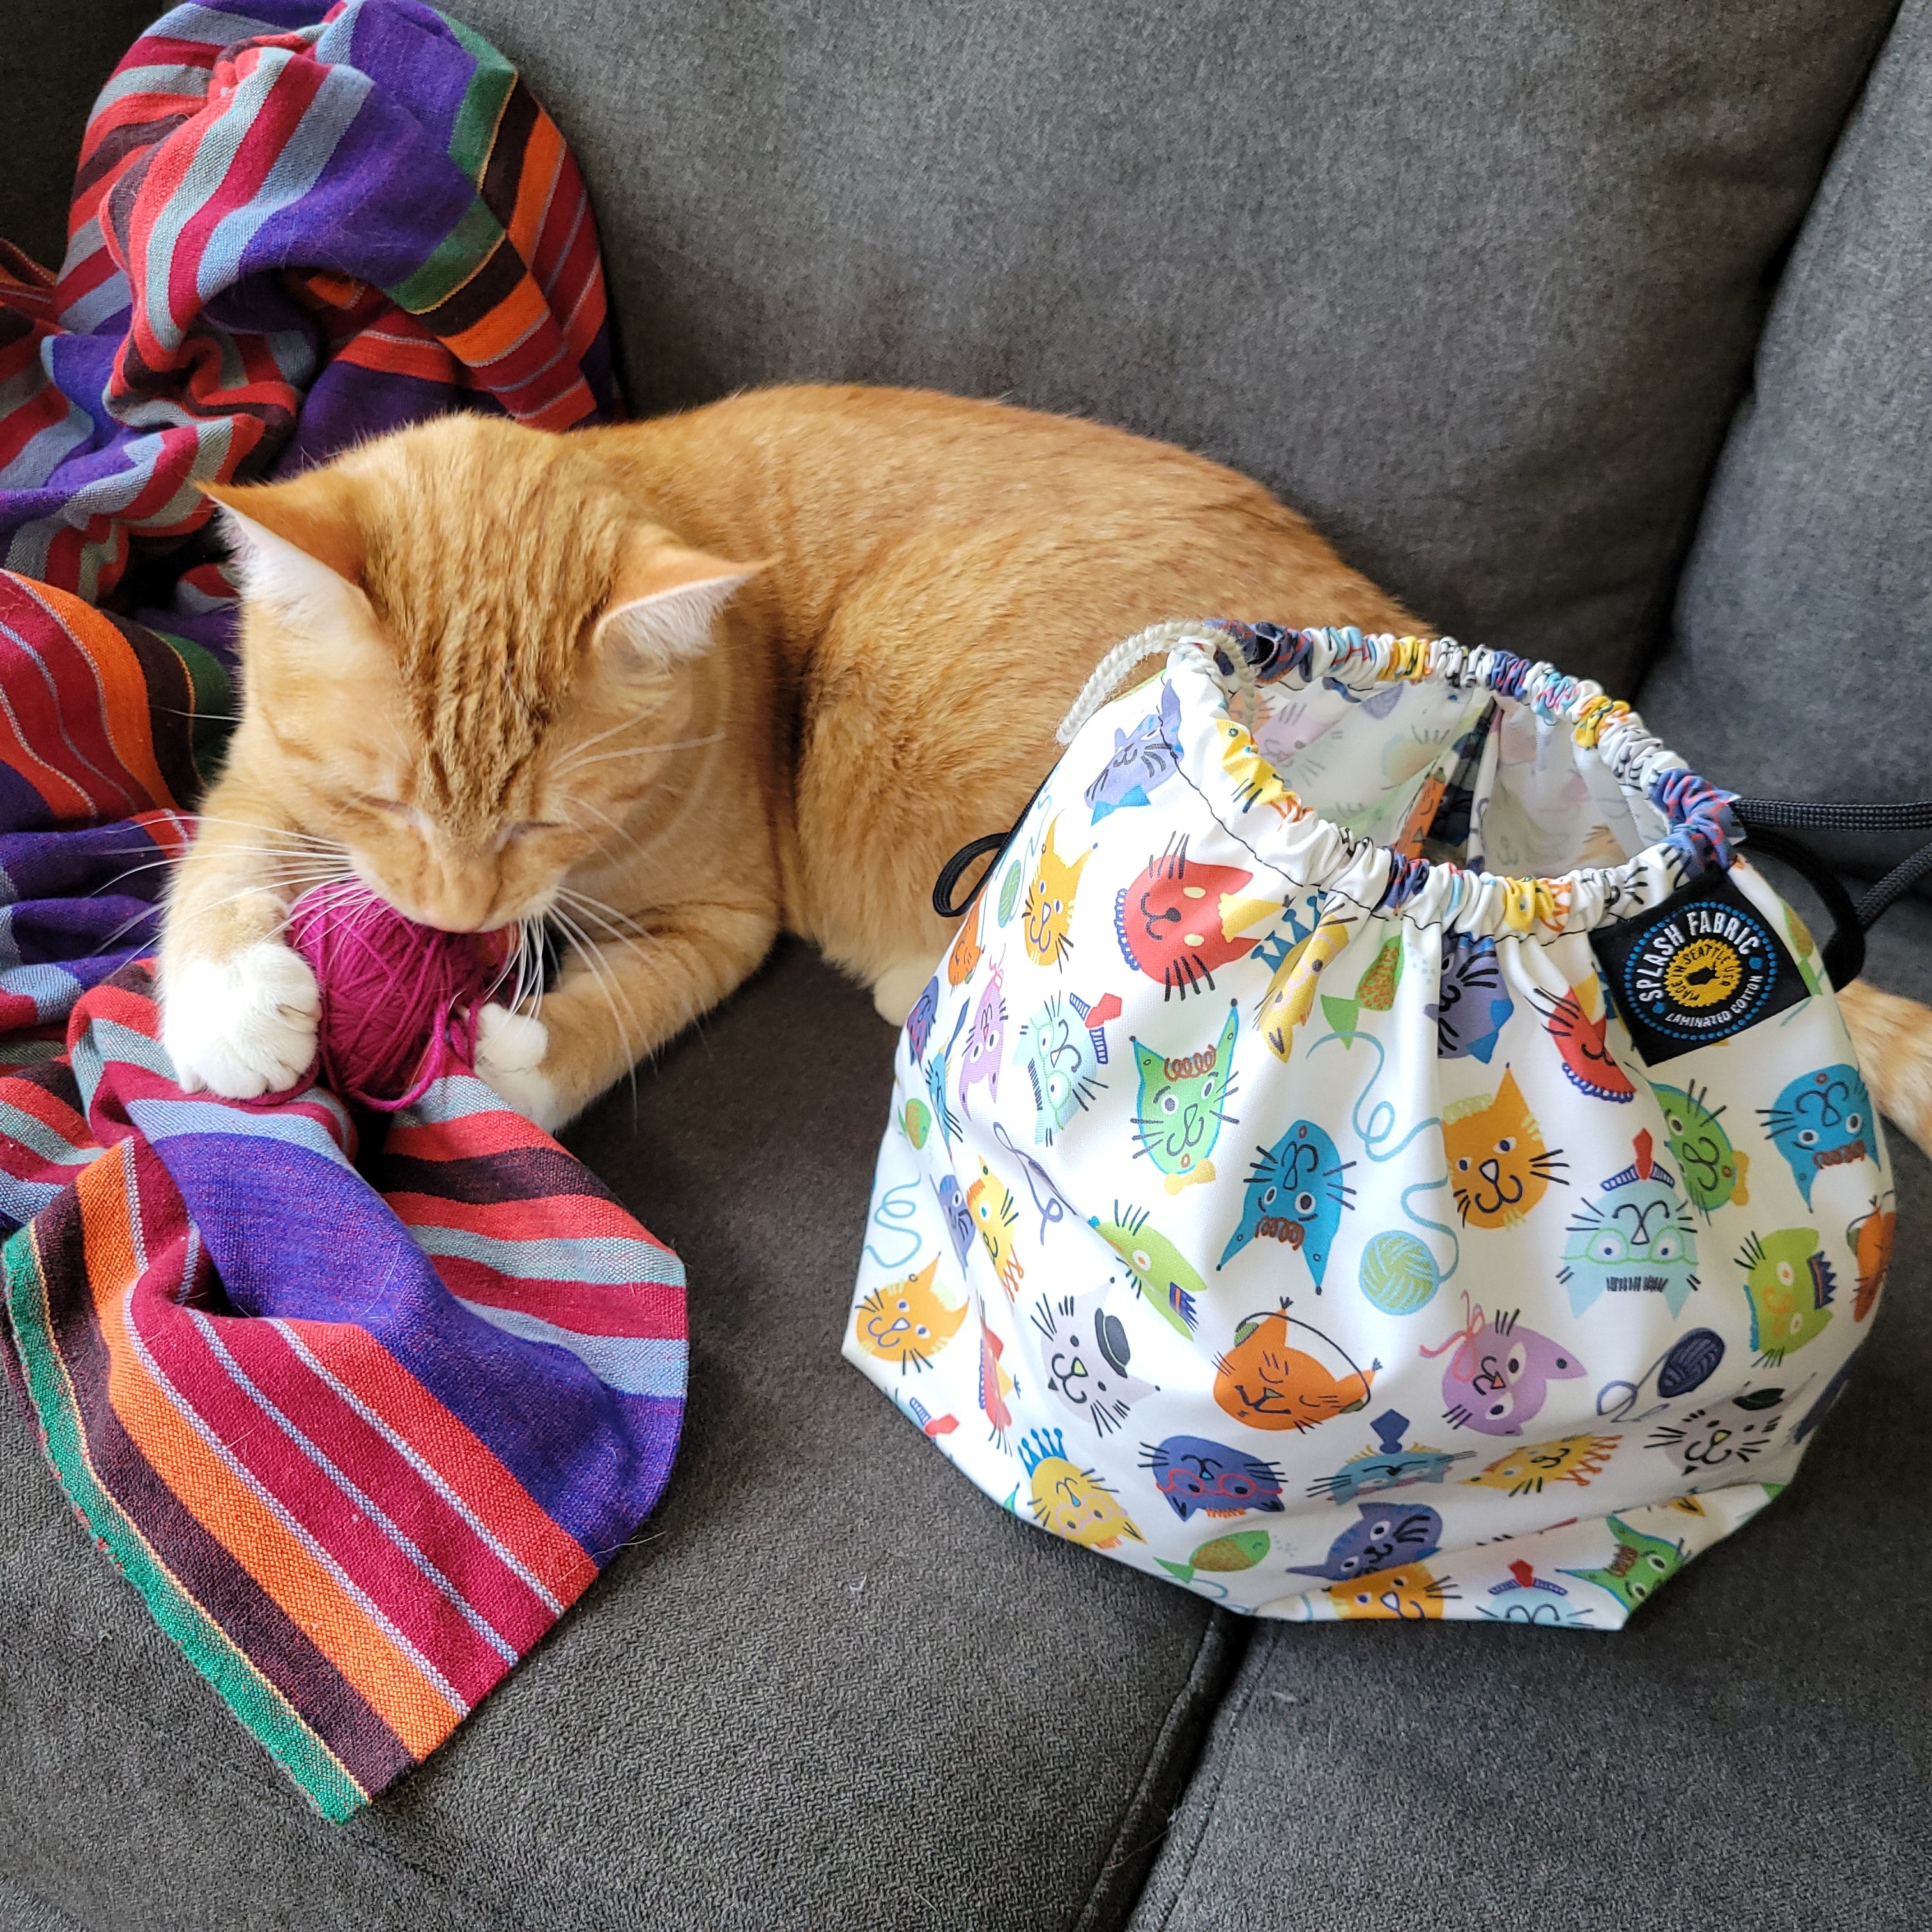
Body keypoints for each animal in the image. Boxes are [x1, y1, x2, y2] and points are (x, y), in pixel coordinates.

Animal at [156, 386, 1932, 1155]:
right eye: (389, 802)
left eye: (547, 818)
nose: (453, 927)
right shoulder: (261, 791)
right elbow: (208, 877)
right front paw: (239, 1015)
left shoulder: (731, 913)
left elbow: (632, 1002)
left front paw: (518, 1056)